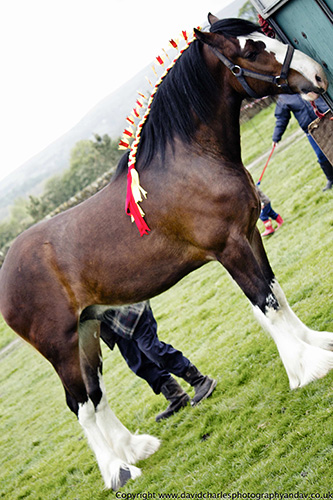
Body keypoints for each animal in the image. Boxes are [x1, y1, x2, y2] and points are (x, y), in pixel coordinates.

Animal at [0, 14, 330, 488]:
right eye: (250, 50)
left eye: (265, 34)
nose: (318, 75)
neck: (192, 161)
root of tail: (7, 271)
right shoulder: (230, 248)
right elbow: (265, 304)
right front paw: (306, 368)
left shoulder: (250, 235)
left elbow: (276, 294)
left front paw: (317, 345)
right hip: (60, 346)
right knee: (81, 408)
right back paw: (119, 471)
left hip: (89, 330)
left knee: (96, 396)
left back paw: (135, 448)